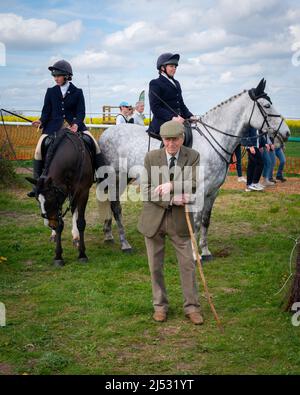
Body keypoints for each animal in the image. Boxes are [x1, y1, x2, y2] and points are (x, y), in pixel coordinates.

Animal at [26, 128, 93, 268]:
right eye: (37, 200)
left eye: (51, 198)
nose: (50, 224)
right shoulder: (62, 194)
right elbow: (60, 224)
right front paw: (58, 256)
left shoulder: (83, 191)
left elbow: (80, 222)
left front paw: (82, 254)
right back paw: (55, 235)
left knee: (74, 210)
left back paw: (76, 237)